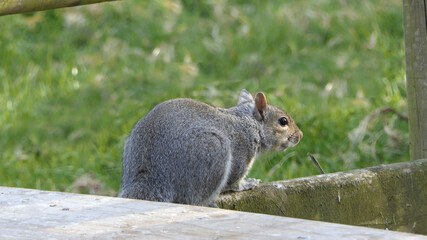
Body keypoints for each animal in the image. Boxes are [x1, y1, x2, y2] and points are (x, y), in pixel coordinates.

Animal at [118, 89, 302, 206]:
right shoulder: (241, 151)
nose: (299, 136)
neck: (249, 123)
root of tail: (152, 176)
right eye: (283, 121)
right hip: (214, 152)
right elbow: (234, 182)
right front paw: (248, 183)